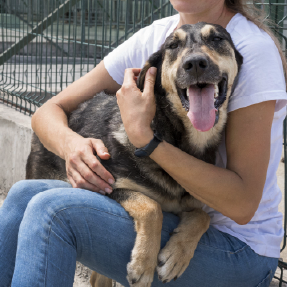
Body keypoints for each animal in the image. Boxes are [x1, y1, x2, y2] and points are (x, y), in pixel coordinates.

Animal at [26, 23, 243, 287]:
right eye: (173, 45)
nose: (195, 63)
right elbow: (151, 206)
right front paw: (143, 265)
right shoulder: (107, 186)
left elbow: (203, 216)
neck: (178, 139)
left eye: (217, 38)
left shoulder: (190, 204)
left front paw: (176, 255)